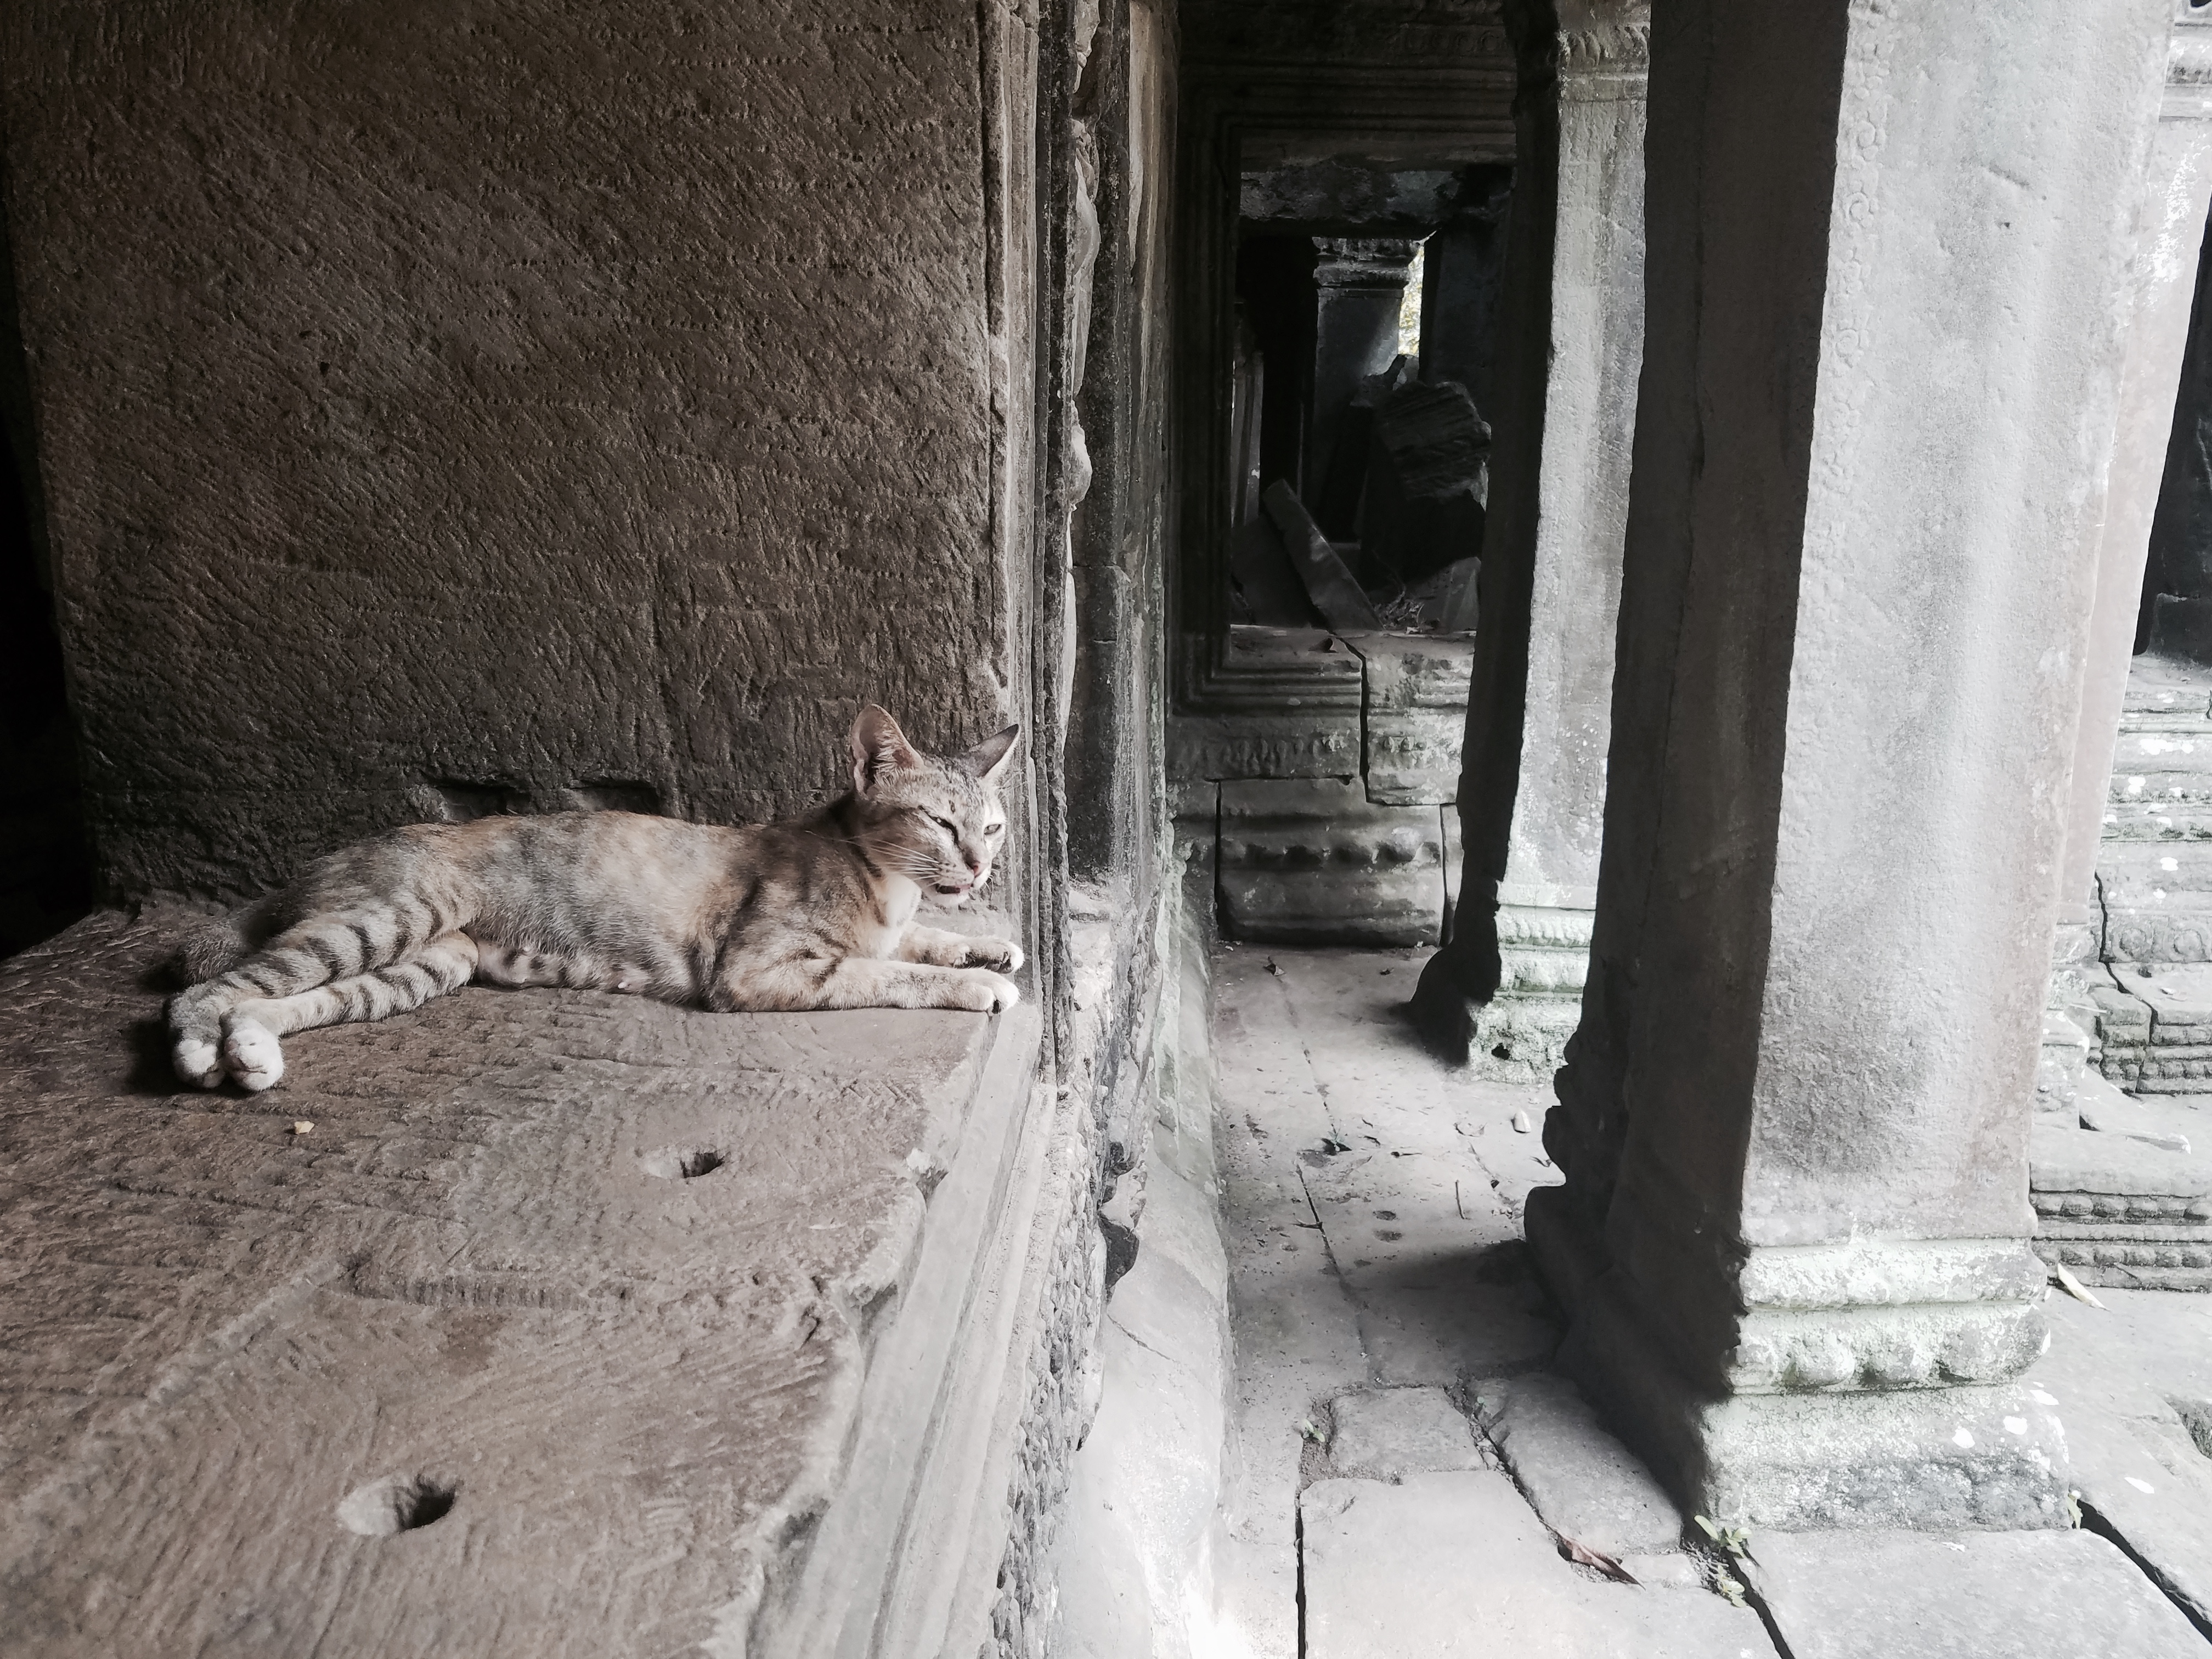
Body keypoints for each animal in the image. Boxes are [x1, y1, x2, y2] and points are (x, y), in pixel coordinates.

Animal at [167, 705, 1025, 1093]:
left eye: (994, 826)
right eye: (940, 822)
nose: (981, 867)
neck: (886, 883)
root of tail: (320, 863)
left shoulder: (884, 929)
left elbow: (916, 944)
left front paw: (987, 946)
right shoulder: (757, 968)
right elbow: (892, 971)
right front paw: (977, 983)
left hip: (427, 965)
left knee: (277, 1000)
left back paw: (253, 1050)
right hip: (390, 918)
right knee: (207, 990)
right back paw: (201, 1052)